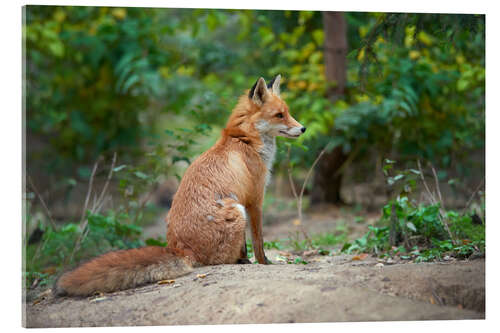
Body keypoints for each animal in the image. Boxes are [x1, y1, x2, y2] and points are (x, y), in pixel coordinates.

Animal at [53, 75, 304, 296]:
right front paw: (265, 263)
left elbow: (247, 244)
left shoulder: (247, 200)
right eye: (279, 115)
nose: (303, 129)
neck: (245, 140)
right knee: (222, 259)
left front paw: (250, 260)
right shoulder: (254, 200)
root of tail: (181, 249)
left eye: (288, 113)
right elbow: (259, 241)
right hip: (236, 210)